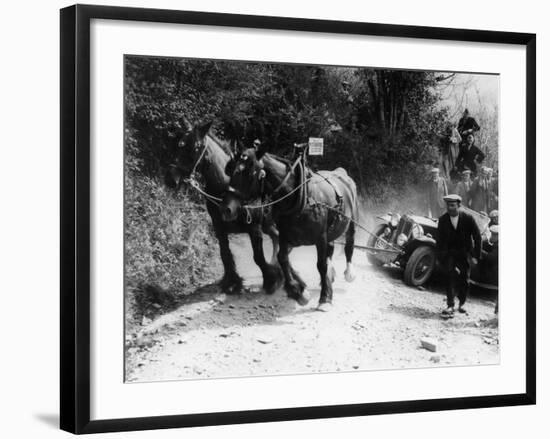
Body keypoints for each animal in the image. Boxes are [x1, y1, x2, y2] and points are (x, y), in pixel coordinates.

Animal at [165, 121, 282, 296]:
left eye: (194, 147)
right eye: (179, 144)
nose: (170, 179)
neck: (226, 187)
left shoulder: (254, 227)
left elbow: (258, 257)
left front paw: (271, 280)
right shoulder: (218, 226)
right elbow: (225, 254)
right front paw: (232, 283)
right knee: (275, 235)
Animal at [222, 144, 360, 310]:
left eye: (247, 173)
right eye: (231, 170)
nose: (227, 208)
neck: (302, 198)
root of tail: (341, 172)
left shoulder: (320, 237)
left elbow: (321, 265)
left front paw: (325, 298)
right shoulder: (284, 234)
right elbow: (282, 258)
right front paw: (297, 291)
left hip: (351, 221)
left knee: (349, 243)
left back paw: (349, 272)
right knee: (331, 249)